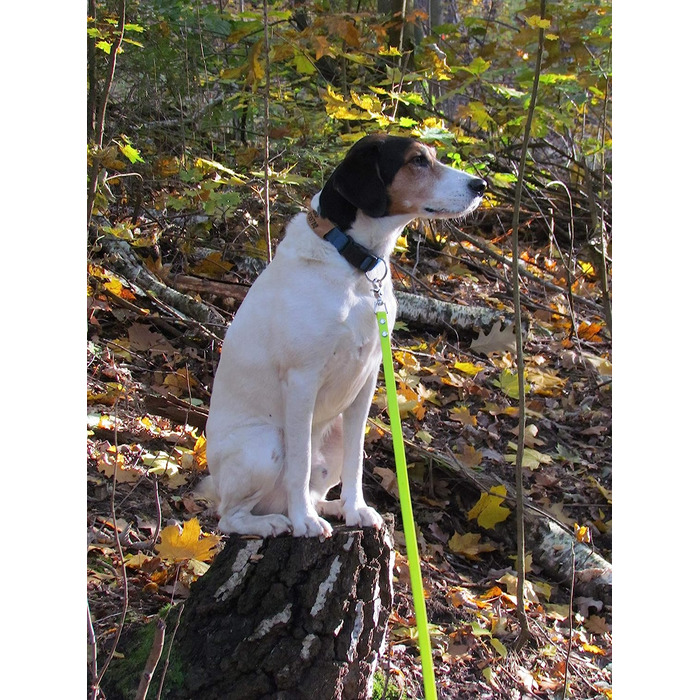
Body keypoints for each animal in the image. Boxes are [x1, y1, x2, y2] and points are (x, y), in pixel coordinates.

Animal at [202, 134, 486, 540]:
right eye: (417, 160)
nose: (481, 185)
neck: (355, 266)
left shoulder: (367, 378)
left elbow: (356, 460)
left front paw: (355, 508)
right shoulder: (302, 380)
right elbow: (300, 464)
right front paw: (304, 521)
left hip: (330, 437)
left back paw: (329, 507)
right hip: (263, 446)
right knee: (230, 515)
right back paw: (277, 520)